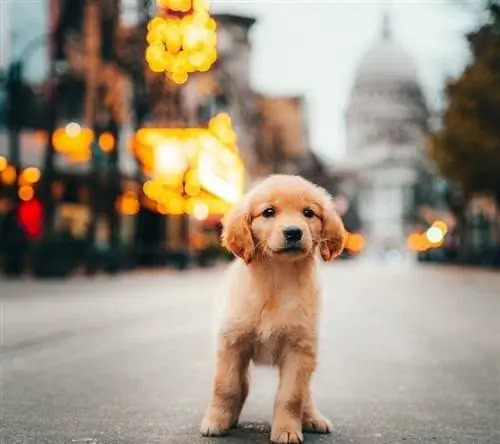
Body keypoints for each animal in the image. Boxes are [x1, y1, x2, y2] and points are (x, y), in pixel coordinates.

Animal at [201, 175, 346, 442]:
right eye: (269, 212)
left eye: (308, 213)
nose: (293, 232)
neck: (278, 278)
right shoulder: (232, 343)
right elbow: (226, 386)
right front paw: (215, 421)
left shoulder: (300, 350)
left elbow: (292, 396)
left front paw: (287, 430)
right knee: (242, 386)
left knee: (307, 394)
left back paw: (313, 418)